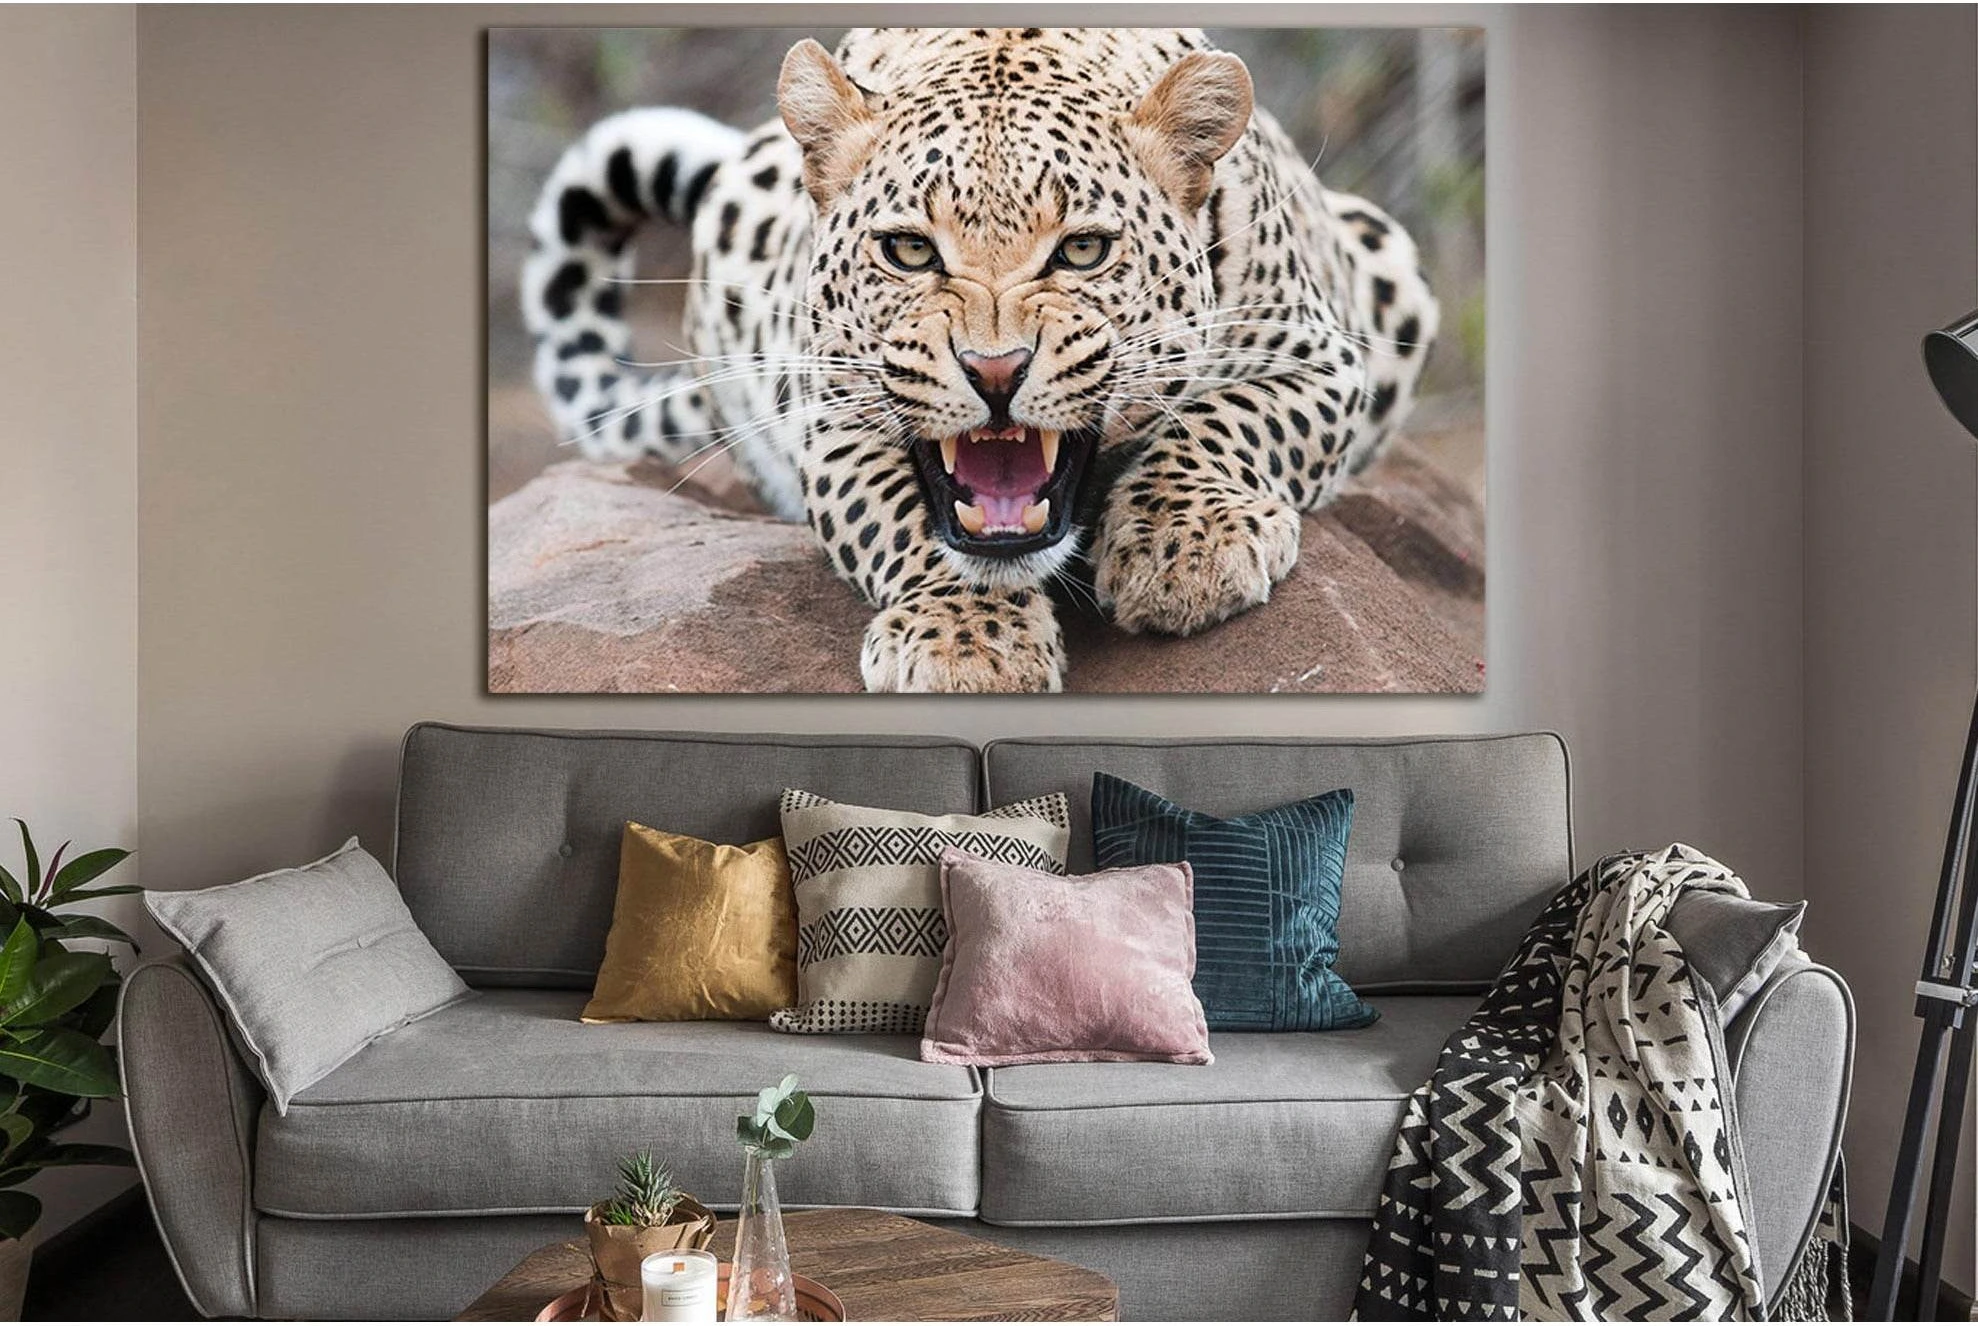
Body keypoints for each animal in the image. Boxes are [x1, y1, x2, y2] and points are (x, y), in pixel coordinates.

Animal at [520, 27, 1438, 693]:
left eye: (1083, 250)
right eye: (908, 250)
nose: (995, 372)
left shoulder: (1323, 357)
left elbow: (1228, 421)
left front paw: (1186, 549)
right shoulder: (830, 415)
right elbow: (899, 518)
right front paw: (967, 641)